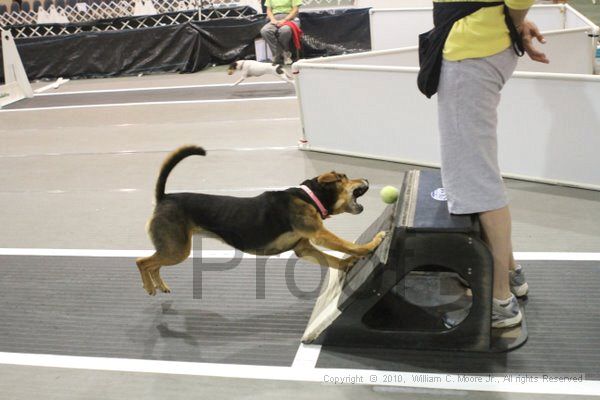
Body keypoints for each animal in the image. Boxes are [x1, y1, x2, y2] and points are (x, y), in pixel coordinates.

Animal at [137, 145, 384, 296]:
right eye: (344, 177)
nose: (366, 178)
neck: (310, 197)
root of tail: (164, 197)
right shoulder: (319, 234)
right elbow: (350, 245)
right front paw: (373, 243)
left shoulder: (304, 248)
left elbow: (332, 260)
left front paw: (347, 264)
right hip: (177, 249)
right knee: (142, 262)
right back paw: (149, 287)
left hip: (173, 248)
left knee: (154, 264)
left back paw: (160, 286)